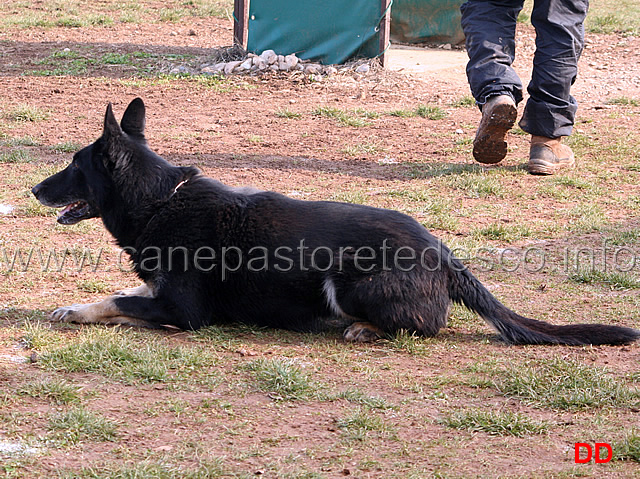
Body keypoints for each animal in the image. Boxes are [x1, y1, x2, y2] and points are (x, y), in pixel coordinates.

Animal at [31, 98, 640, 344]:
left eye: (74, 165)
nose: (33, 188)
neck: (161, 199)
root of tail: (444, 255)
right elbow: (121, 291)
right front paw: (72, 305)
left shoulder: (184, 312)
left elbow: (124, 302)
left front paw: (82, 311)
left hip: (345, 283)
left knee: (421, 326)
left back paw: (363, 329)